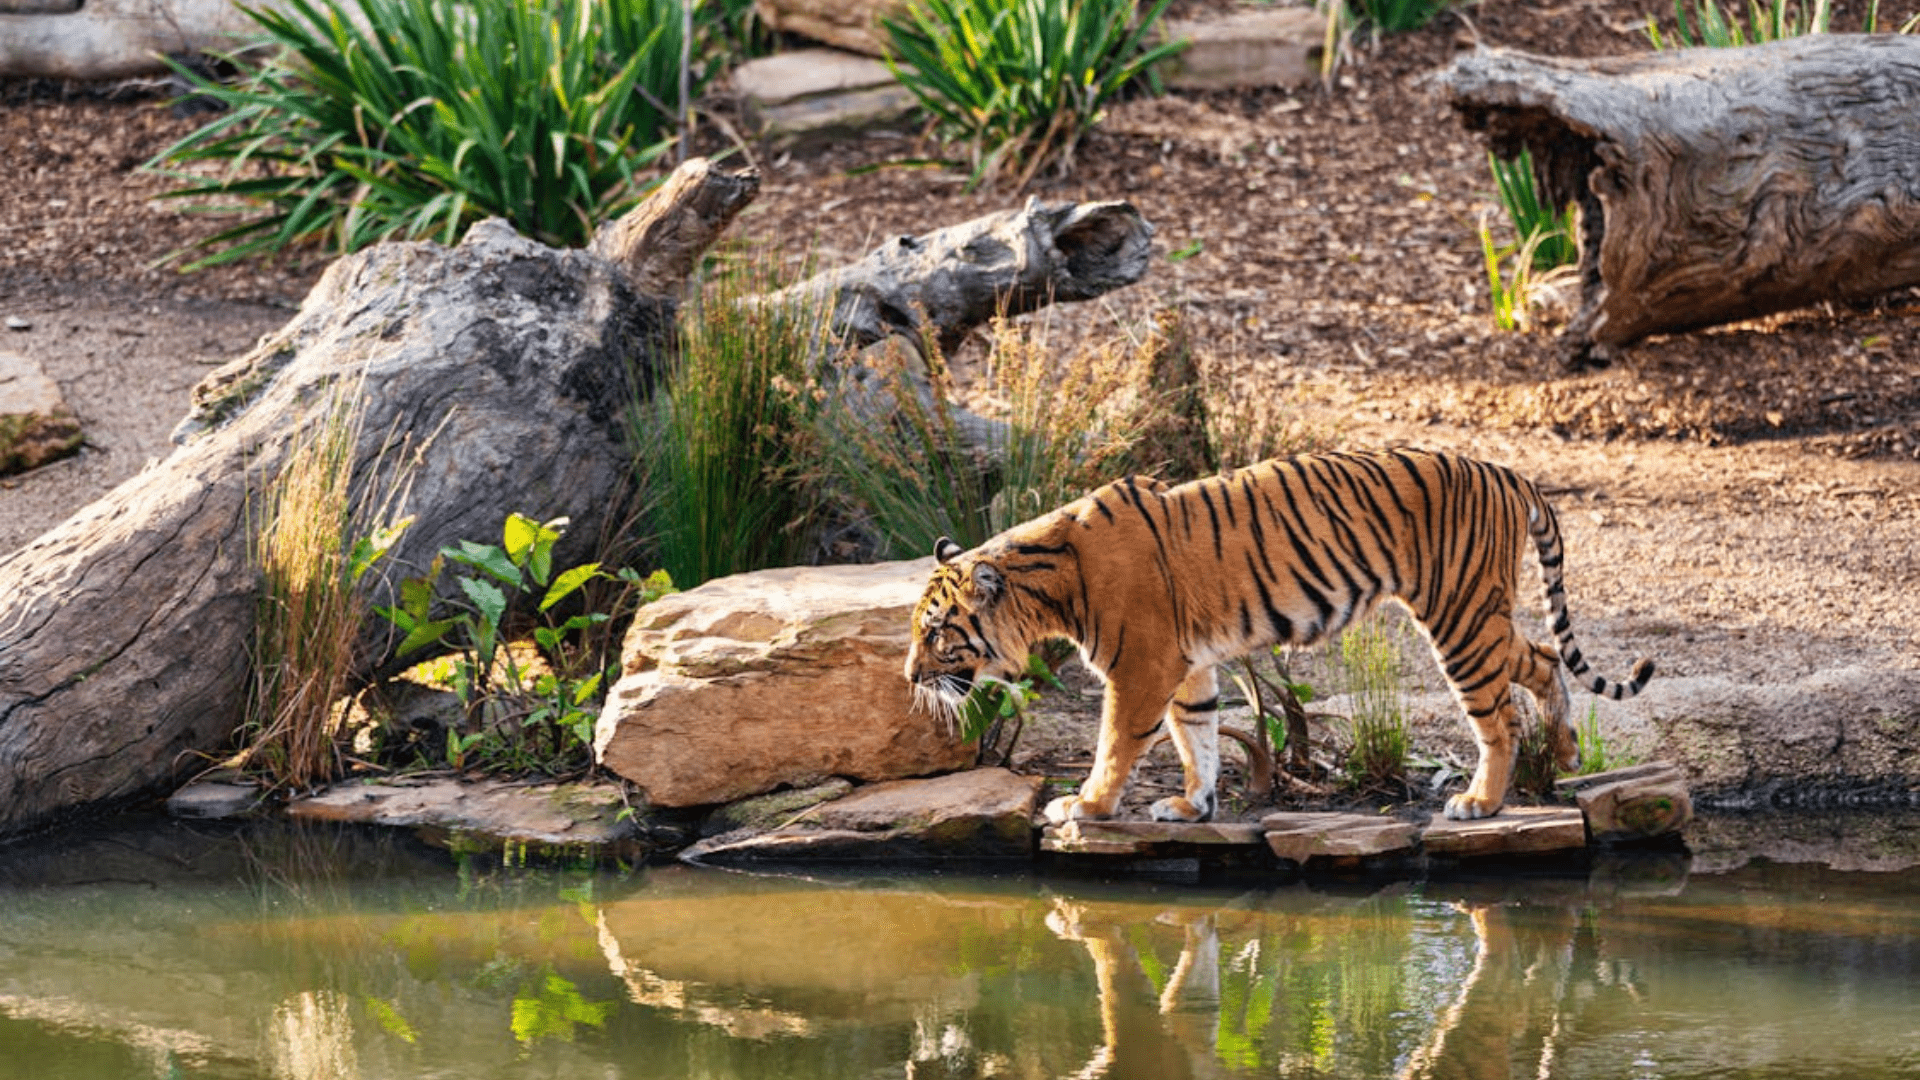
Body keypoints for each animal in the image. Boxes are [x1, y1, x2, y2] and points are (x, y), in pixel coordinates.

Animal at [898, 449, 1651, 818]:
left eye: (936, 633)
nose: (907, 677)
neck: (1048, 581)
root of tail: (1507, 470)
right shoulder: (1186, 667)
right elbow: (1197, 737)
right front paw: (1191, 805)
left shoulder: (1141, 669)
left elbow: (1115, 745)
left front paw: (1085, 805)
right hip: (1482, 615)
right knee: (1545, 656)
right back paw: (1566, 750)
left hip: (1460, 618)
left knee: (1497, 717)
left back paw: (1481, 801)